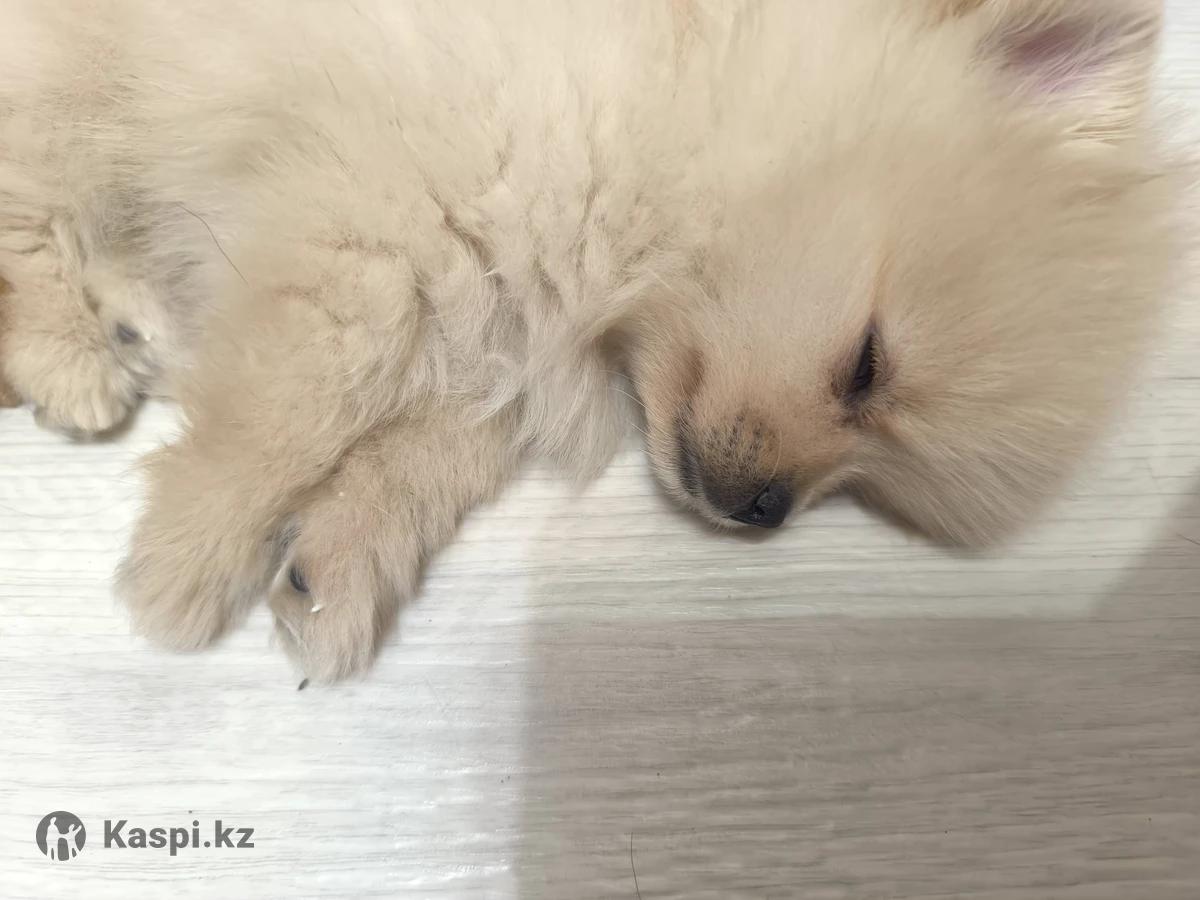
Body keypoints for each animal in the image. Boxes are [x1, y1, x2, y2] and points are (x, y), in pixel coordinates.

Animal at [0, 0, 1181, 679]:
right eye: (865, 365)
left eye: (872, 485)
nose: (763, 511)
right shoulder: (379, 224)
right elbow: (300, 403)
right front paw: (186, 563)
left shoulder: (502, 336)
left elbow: (423, 459)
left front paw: (335, 567)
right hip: (77, 74)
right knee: (31, 197)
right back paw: (69, 354)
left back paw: (138, 312)